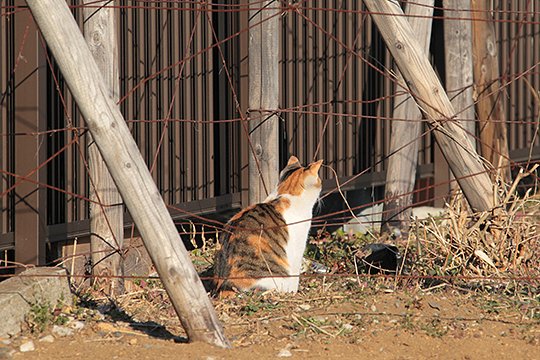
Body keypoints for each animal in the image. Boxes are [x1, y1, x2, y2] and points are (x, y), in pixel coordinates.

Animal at [213, 156, 322, 294]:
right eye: (319, 180)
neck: (284, 194)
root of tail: (225, 285)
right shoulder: (298, 248)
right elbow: (295, 274)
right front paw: (294, 291)